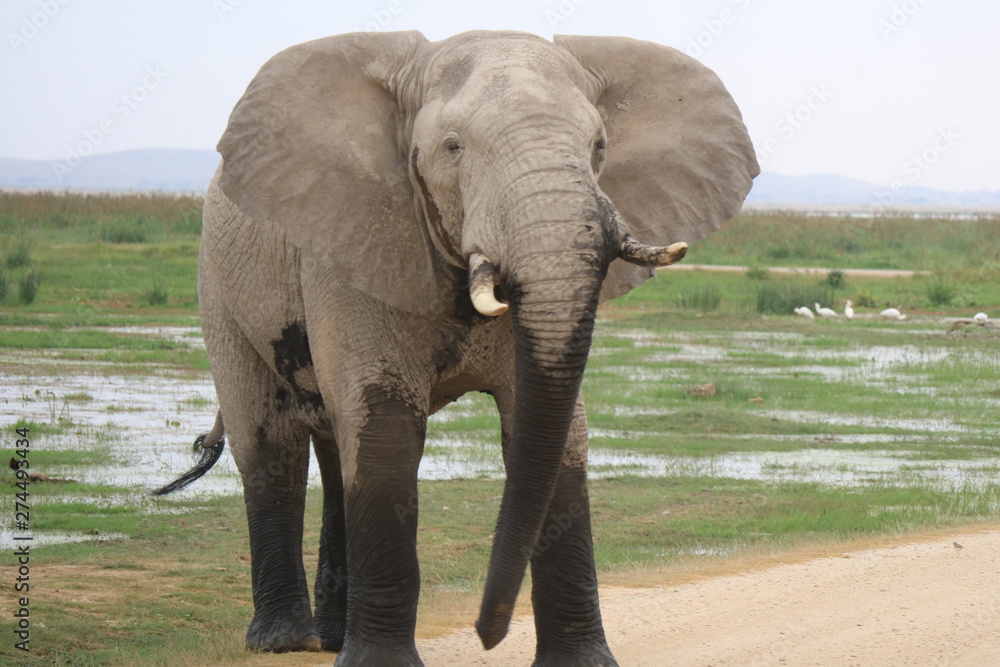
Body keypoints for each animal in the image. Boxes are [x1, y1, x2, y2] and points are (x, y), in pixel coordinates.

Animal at [155, 29, 757, 666]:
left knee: (338, 446)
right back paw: (283, 641)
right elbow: (387, 430)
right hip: (217, 283)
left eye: (599, 146)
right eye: (452, 148)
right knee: (271, 442)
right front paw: (380, 666)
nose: (487, 632)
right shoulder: (357, 242)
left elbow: (553, 426)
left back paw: (332, 638)